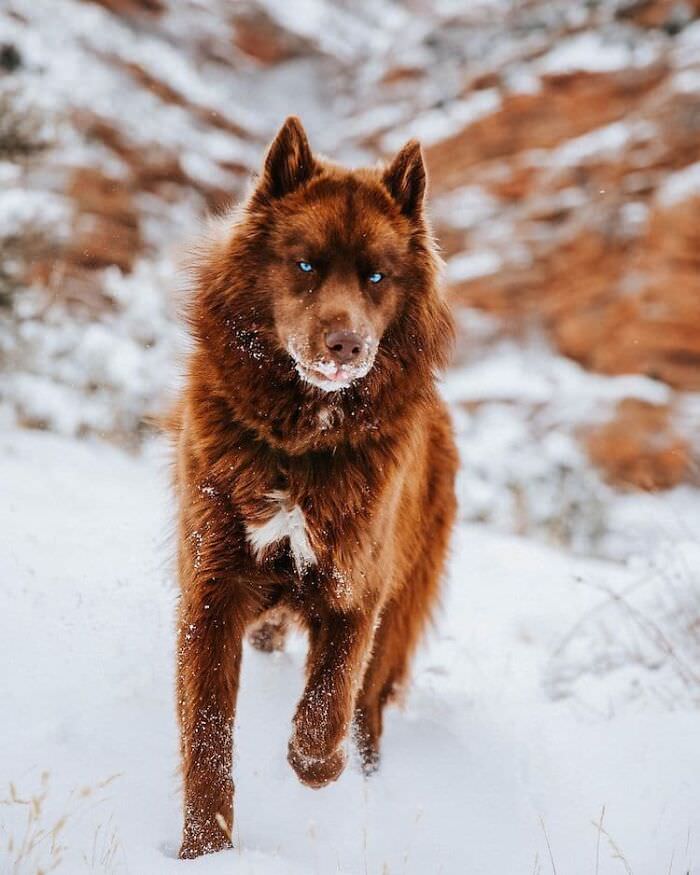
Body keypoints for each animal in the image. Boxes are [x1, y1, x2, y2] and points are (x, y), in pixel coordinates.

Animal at [171, 113, 460, 860]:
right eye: (304, 264)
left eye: (377, 275)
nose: (347, 346)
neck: (299, 446)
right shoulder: (211, 592)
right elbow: (207, 735)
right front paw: (204, 852)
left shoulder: (357, 588)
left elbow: (330, 695)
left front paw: (315, 767)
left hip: (402, 607)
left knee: (368, 706)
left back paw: (363, 775)